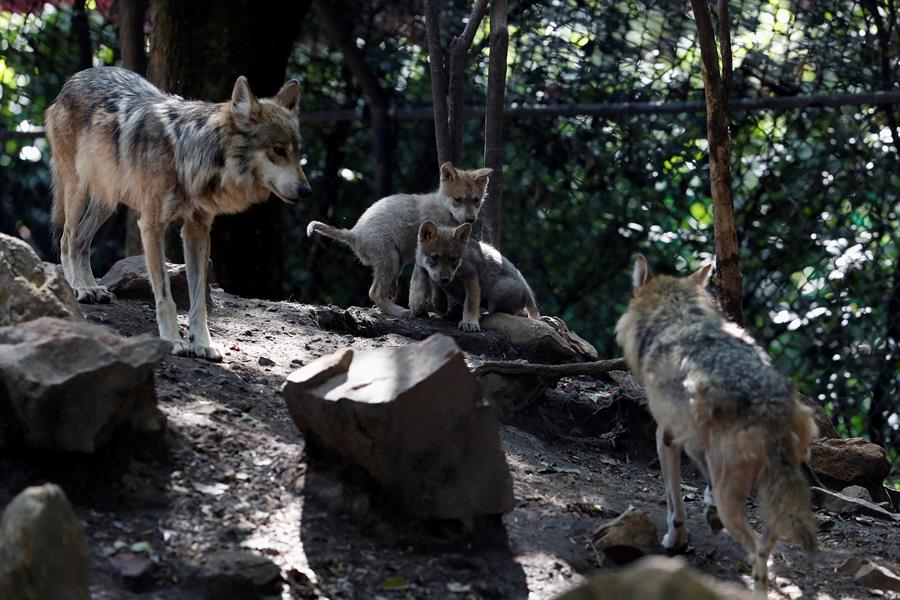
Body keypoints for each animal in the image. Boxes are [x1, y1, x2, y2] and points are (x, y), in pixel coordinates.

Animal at [45, 68, 312, 360]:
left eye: (298, 151)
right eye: (278, 150)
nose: (307, 191)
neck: (188, 153)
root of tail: (75, 78)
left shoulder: (197, 229)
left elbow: (198, 301)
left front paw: (202, 344)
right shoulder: (151, 225)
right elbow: (165, 296)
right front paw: (173, 340)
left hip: (107, 200)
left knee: (82, 241)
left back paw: (92, 287)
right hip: (77, 189)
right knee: (68, 239)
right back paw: (80, 288)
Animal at [310, 159, 492, 318]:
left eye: (476, 200)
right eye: (458, 199)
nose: (470, 219)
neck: (444, 210)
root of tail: (354, 233)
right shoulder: (428, 252)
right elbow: (432, 281)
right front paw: (435, 304)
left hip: (398, 261)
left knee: (386, 289)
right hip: (390, 257)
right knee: (375, 292)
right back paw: (399, 311)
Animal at [410, 221, 540, 332]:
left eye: (454, 259)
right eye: (434, 257)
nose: (445, 279)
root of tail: (529, 294)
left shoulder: (471, 277)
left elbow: (470, 303)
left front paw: (469, 323)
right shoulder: (421, 265)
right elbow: (419, 284)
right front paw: (418, 306)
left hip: (498, 291)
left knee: (502, 313)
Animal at [616, 254, 820, 596]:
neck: (676, 316)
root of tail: (769, 406)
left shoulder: (666, 437)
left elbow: (674, 503)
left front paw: (675, 540)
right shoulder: (697, 444)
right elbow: (704, 487)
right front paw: (707, 514)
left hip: (736, 499)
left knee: (757, 551)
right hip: (774, 496)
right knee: (768, 545)